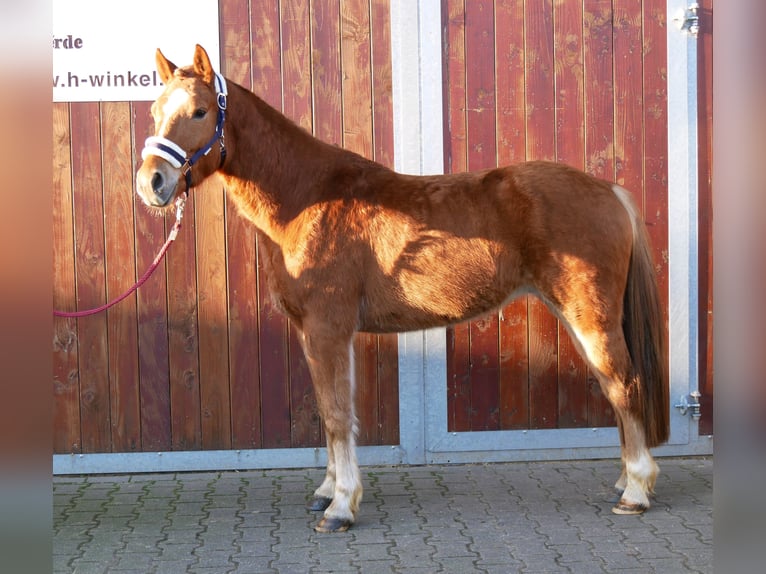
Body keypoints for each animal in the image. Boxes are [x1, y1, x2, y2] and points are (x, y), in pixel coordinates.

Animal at [138, 45, 672, 536]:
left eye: (200, 111)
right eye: (155, 110)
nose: (152, 183)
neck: (308, 198)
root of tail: (608, 190)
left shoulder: (328, 330)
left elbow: (336, 414)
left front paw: (340, 507)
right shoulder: (318, 334)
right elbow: (331, 412)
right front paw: (328, 490)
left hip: (591, 316)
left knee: (623, 385)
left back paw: (636, 491)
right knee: (615, 388)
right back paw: (626, 483)